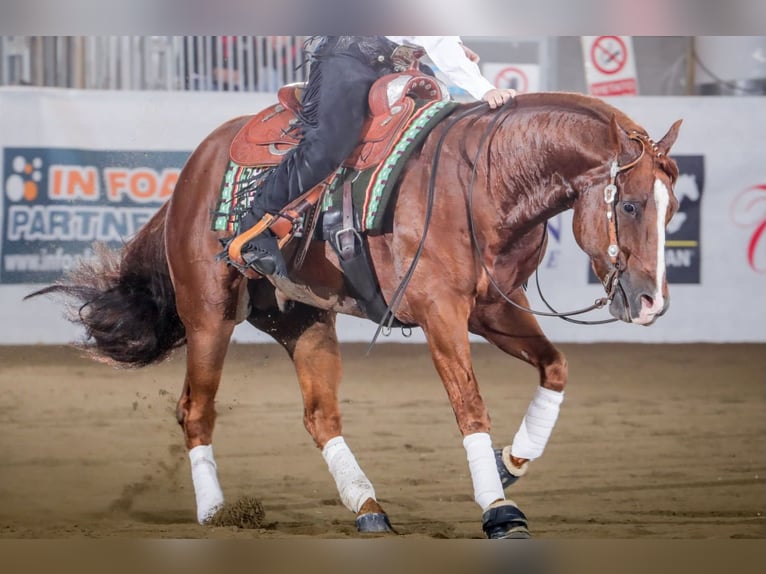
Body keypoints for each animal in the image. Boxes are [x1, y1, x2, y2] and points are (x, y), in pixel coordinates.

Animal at [27, 85, 682, 539]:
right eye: (629, 204)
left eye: (673, 208)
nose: (652, 301)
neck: (482, 181)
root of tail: (193, 169)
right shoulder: (442, 313)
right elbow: (469, 405)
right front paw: (499, 509)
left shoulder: (494, 307)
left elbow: (555, 368)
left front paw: (510, 464)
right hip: (209, 316)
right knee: (196, 411)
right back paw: (216, 511)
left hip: (303, 320)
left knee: (321, 416)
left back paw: (367, 507)